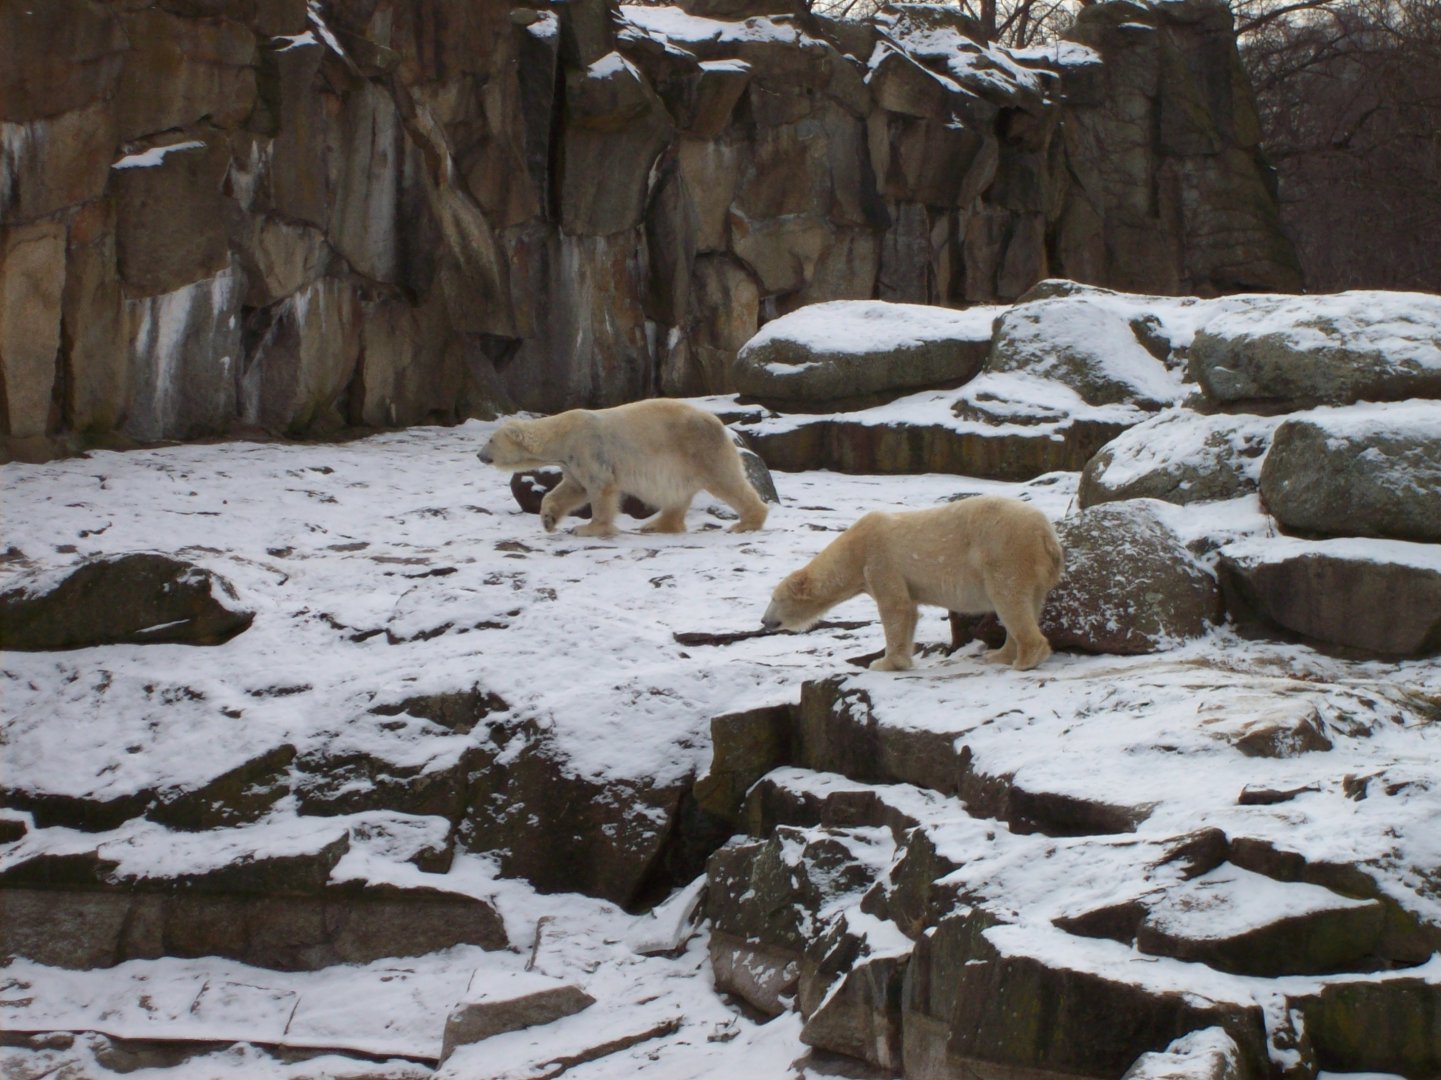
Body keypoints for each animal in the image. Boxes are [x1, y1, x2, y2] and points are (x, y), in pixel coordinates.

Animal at [477, 399, 769, 538]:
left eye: (490, 440)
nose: (479, 455)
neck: (562, 433)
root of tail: (718, 422)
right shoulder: (571, 461)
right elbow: (572, 488)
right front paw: (548, 519)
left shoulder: (587, 448)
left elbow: (600, 488)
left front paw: (587, 528)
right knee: (677, 496)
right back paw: (656, 525)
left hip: (700, 448)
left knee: (727, 481)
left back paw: (746, 522)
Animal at [762, 495, 1064, 671]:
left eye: (774, 599)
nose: (764, 621)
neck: (853, 549)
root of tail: (1047, 536)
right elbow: (910, 611)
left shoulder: (880, 559)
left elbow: (895, 608)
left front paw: (882, 662)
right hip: (1033, 569)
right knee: (1025, 603)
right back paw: (999, 655)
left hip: (1004, 552)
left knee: (1009, 599)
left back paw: (1024, 661)